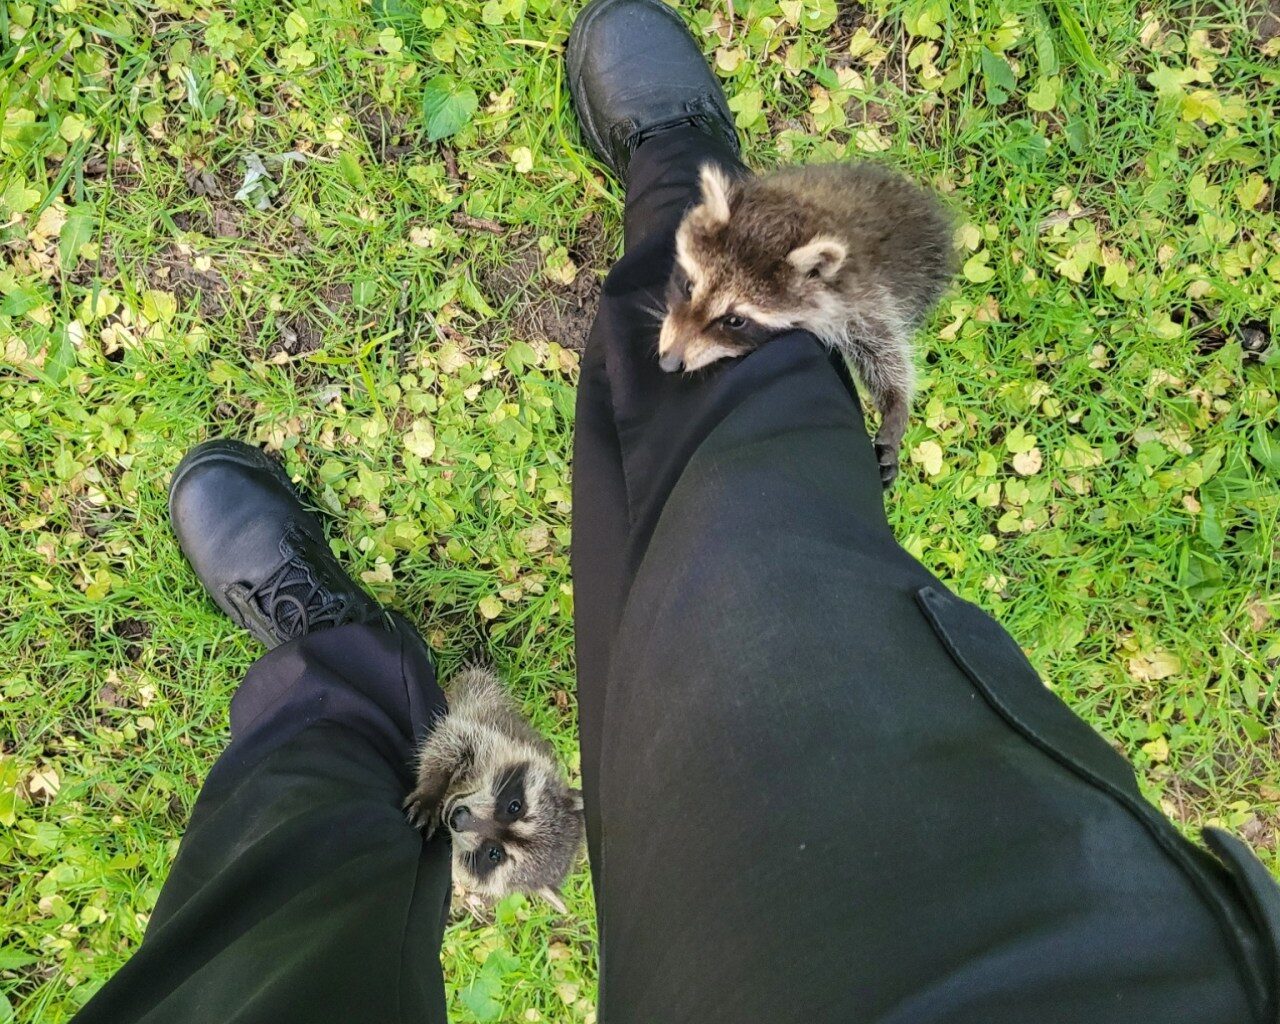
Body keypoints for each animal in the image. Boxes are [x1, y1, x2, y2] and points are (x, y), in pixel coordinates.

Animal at [404, 665, 583, 912]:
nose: (458, 817)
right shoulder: (496, 740)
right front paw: (432, 790)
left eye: (494, 853)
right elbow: (450, 742)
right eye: (514, 806)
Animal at [659, 162, 955, 487]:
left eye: (735, 320)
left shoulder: (861, 294)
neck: (796, 209)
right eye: (688, 287)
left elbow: (883, 346)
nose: (669, 363)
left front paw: (895, 402)